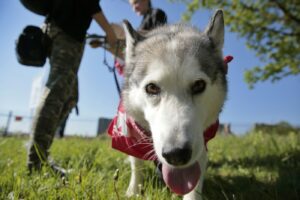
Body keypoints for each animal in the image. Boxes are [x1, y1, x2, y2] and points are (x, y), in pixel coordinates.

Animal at [118, 10, 226, 200]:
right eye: (152, 87)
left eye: (199, 85)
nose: (176, 154)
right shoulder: (130, 132)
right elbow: (136, 162)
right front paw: (133, 191)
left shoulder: (202, 140)